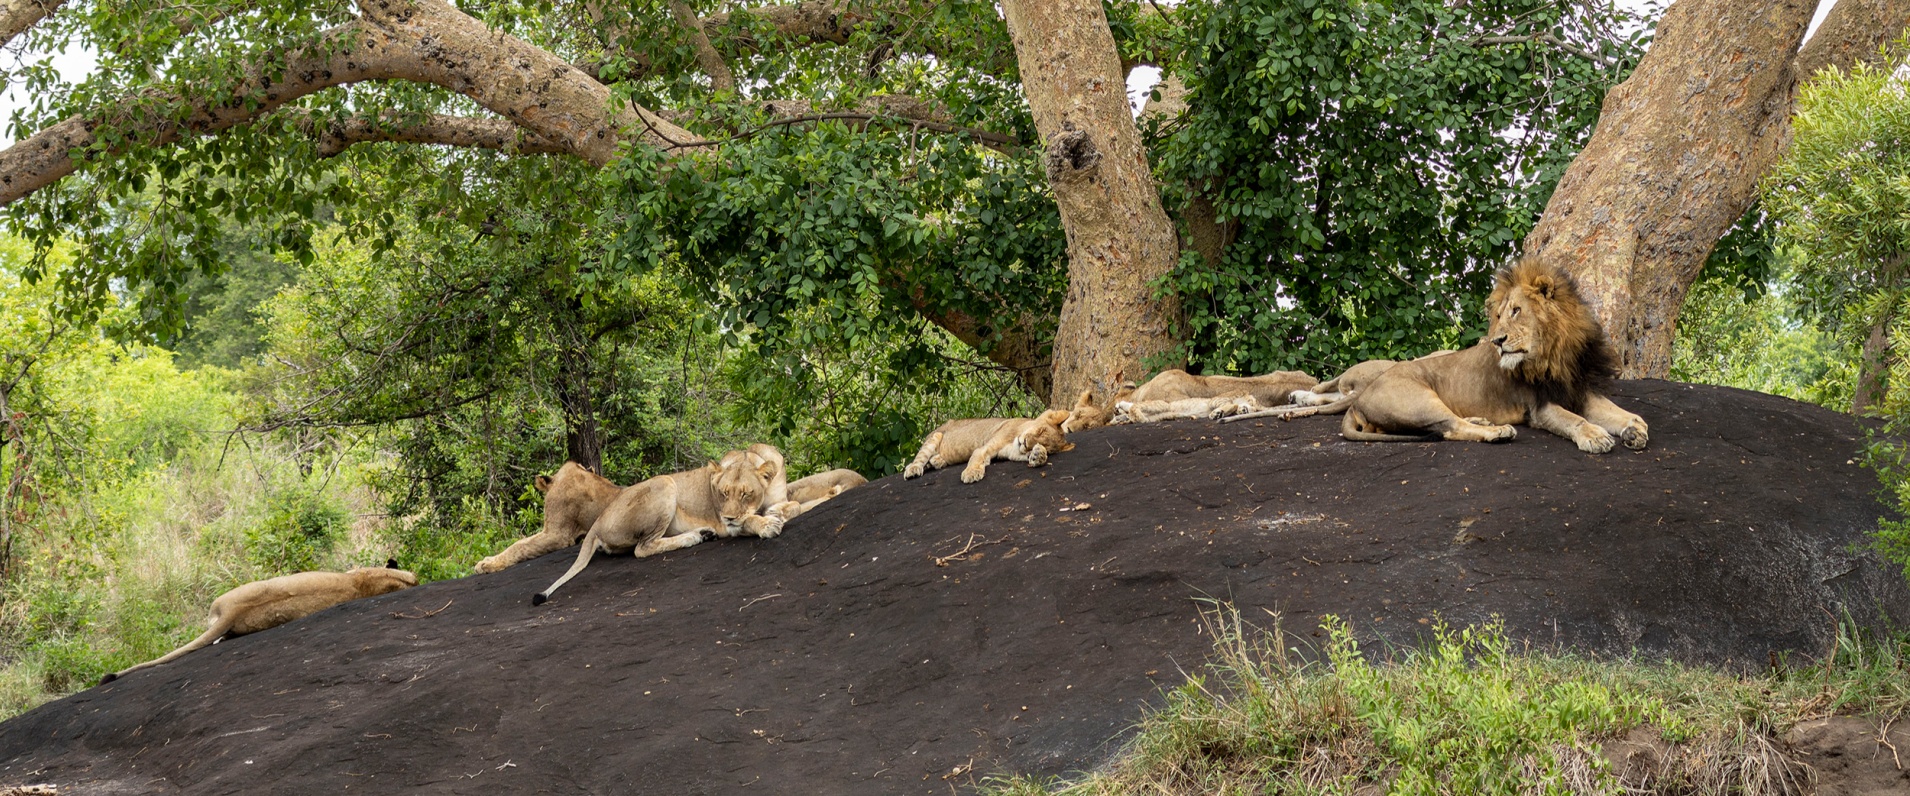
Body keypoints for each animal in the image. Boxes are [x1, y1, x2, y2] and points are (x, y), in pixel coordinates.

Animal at [532, 444, 800, 606]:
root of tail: (597, 521)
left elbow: (794, 504)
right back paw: (694, 537)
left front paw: (776, 512)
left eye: (745, 493)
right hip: (665, 483)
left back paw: (704, 533)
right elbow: (751, 520)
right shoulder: (731, 525)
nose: (728, 518)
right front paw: (767, 525)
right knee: (643, 549)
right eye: (723, 493)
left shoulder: (778, 496)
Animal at [902, 409, 1075, 483]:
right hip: (935, 436)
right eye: (1040, 430)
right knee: (920, 458)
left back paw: (937, 461)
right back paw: (913, 469)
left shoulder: (1012, 452)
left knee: (932, 460)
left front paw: (1038, 455)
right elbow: (976, 458)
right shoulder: (985, 447)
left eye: (1041, 443)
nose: (1025, 444)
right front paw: (971, 473)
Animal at [1313, 257, 1647, 453]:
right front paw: (1594, 435)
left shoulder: (1580, 389)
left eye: (1516, 311)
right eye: (1499, 315)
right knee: (1449, 428)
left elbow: (1615, 411)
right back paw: (1497, 431)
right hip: (1419, 400)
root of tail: (1358, 400)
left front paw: (1634, 428)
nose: (1497, 341)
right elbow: (1572, 420)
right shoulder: (1541, 406)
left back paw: (1483, 421)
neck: (1556, 352)